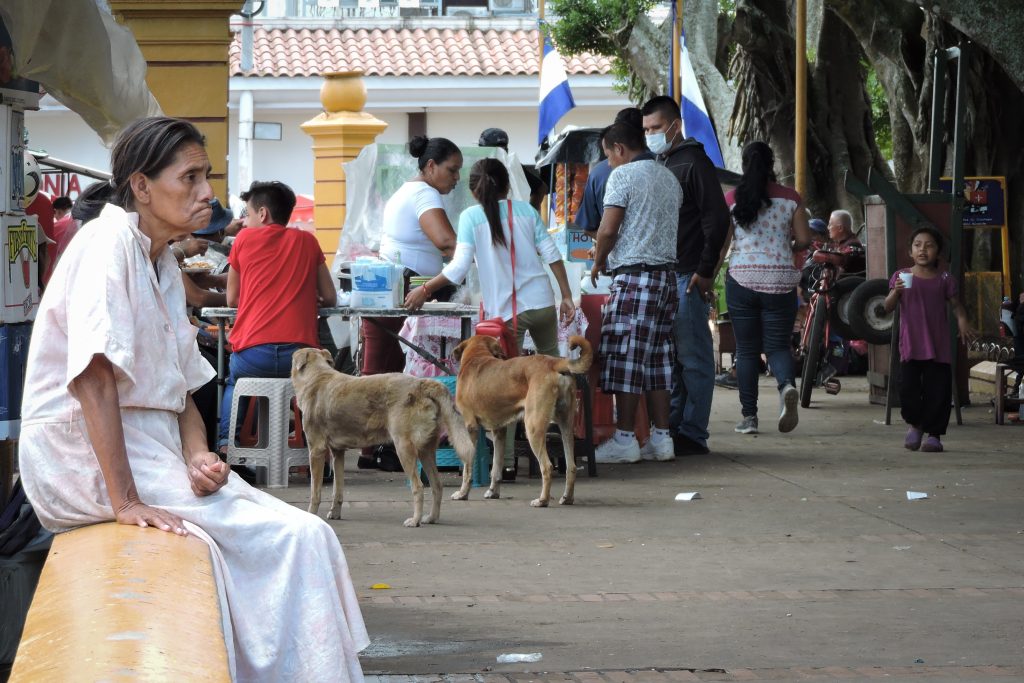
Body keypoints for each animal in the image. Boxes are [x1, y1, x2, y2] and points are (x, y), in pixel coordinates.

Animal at [292, 350, 475, 528]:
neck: (317, 376)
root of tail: (422, 384)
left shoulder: (316, 451)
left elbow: (315, 492)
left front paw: (311, 514)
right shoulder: (338, 453)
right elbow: (338, 490)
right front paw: (335, 513)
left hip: (404, 448)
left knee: (419, 487)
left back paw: (415, 520)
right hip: (426, 451)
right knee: (437, 485)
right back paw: (431, 518)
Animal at [454, 335, 598, 507]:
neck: (476, 356)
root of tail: (554, 362)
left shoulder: (471, 427)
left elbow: (467, 468)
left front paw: (462, 493)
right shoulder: (499, 431)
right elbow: (496, 466)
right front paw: (493, 491)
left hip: (533, 428)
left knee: (547, 467)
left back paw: (542, 500)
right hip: (566, 426)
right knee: (572, 466)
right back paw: (567, 498)